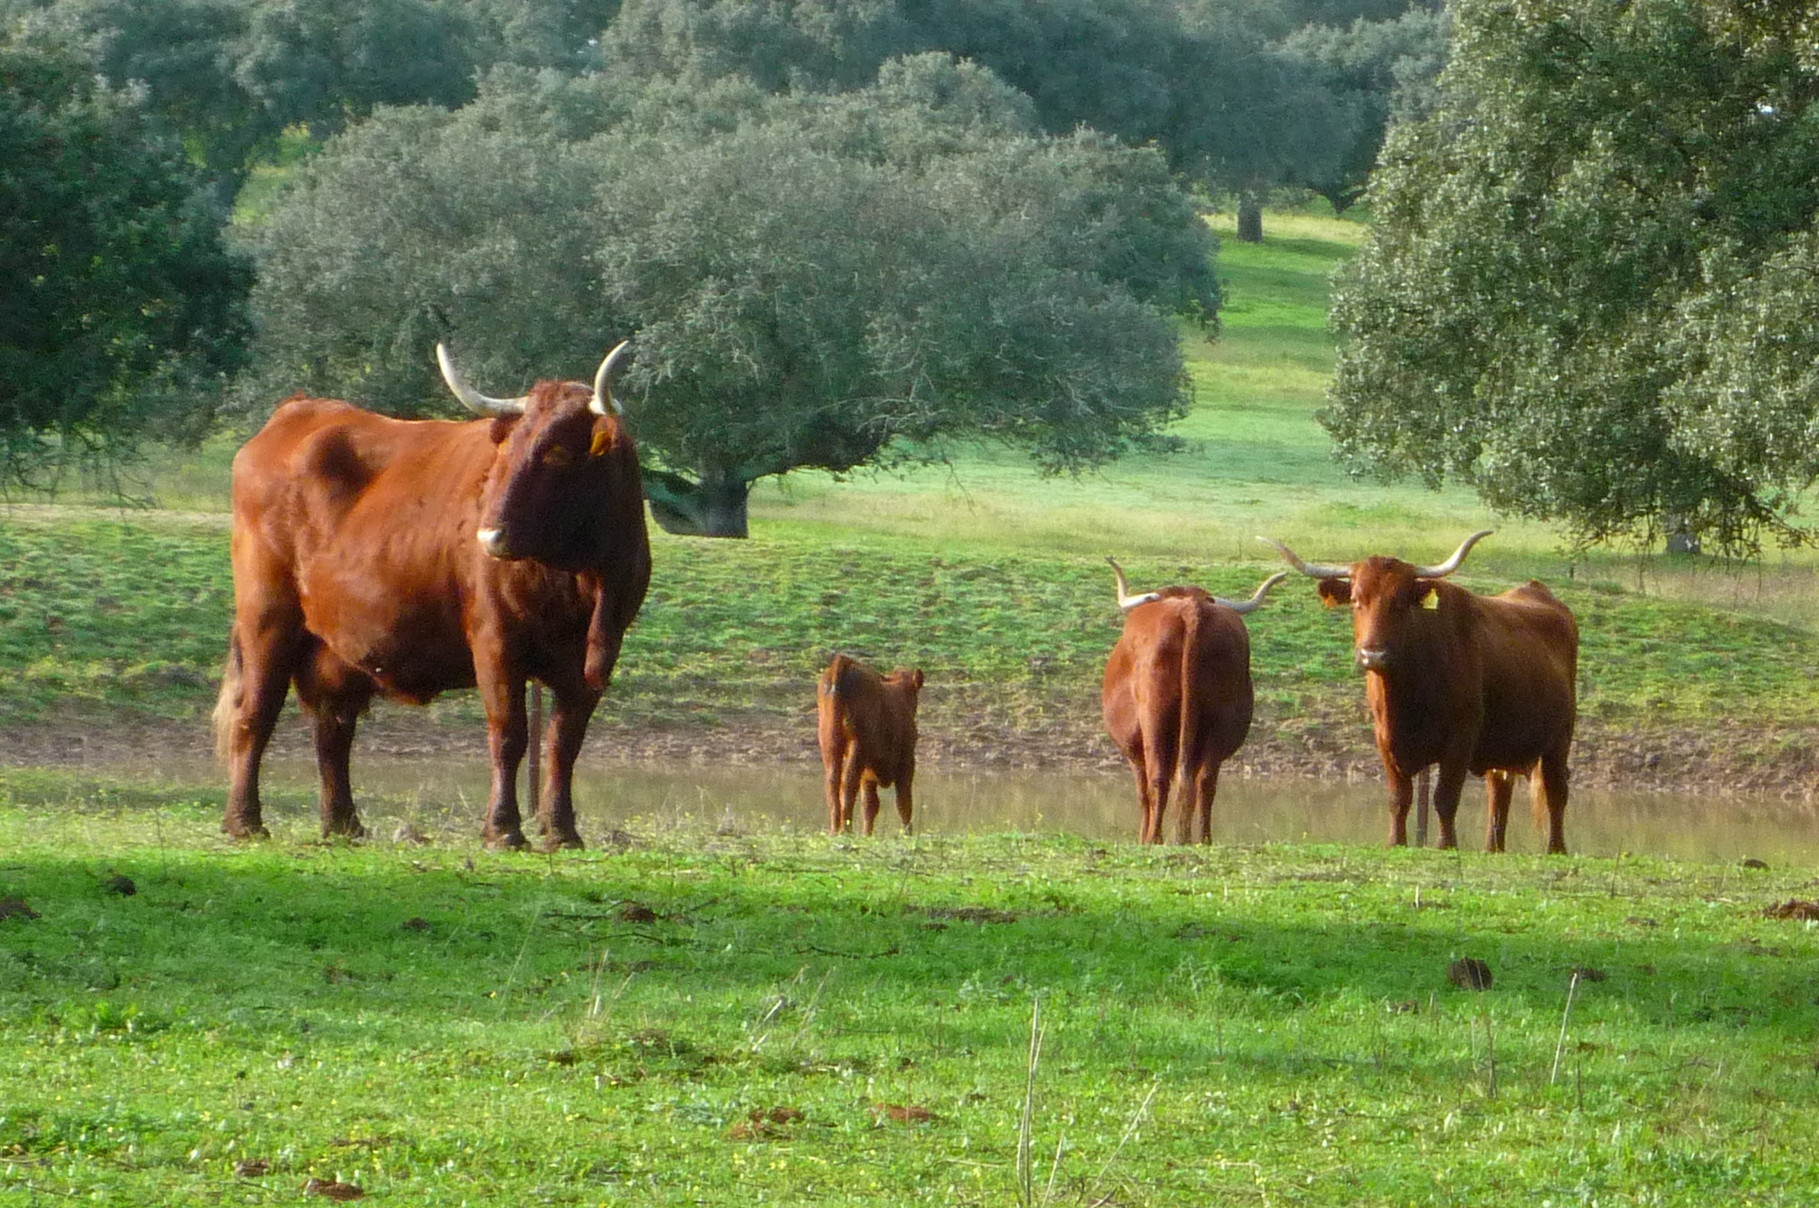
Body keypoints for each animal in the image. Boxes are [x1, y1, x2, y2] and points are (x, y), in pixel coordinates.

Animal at [215, 342, 651, 847]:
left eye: (558, 451)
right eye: (505, 450)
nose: (491, 535)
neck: (581, 580)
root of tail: (298, 410)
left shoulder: (597, 656)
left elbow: (564, 744)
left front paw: (562, 832)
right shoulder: (495, 642)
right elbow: (510, 734)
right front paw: (502, 829)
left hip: (332, 644)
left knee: (333, 727)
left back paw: (344, 825)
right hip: (267, 618)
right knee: (255, 712)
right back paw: (245, 821)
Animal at [818, 654, 924, 836]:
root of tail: (843, 663)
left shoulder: (868, 772)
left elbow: (870, 804)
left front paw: (867, 834)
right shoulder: (907, 762)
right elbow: (904, 801)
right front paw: (908, 834)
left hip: (830, 742)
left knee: (833, 781)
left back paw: (835, 829)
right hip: (858, 745)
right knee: (848, 783)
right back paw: (846, 830)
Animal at [1098, 560, 1287, 844]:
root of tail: (1190, 608)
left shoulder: (1133, 750)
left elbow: (1143, 792)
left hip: (1154, 716)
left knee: (1158, 779)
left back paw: (1154, 839)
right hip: (1219, 722)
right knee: (1205, 782)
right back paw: (1202, 840)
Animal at [1258, 534, 1586, 855]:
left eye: (1400, 602)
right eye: (1355, 600)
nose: (1373, 654)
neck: (1407, 693)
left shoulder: (1461, 738)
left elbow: (1445, 796)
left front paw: (1445, 844)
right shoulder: (1384, 738)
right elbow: (1399, 797)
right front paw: (1396, 841)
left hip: (1560, 738)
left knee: (1557, 790)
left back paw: (1556, 848)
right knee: (1499, 792)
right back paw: (1493, 848)